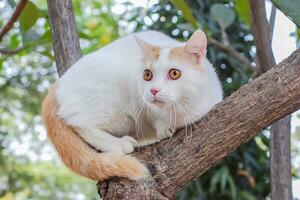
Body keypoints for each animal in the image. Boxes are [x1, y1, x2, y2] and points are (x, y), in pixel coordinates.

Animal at [41, 29, 221, 181]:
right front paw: (164, 127)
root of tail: (59, 82)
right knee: (78, 123)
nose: (154, 90)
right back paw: (118, 144)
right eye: (147, 75)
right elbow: (154, 117)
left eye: (174, 73)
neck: (180, 110)